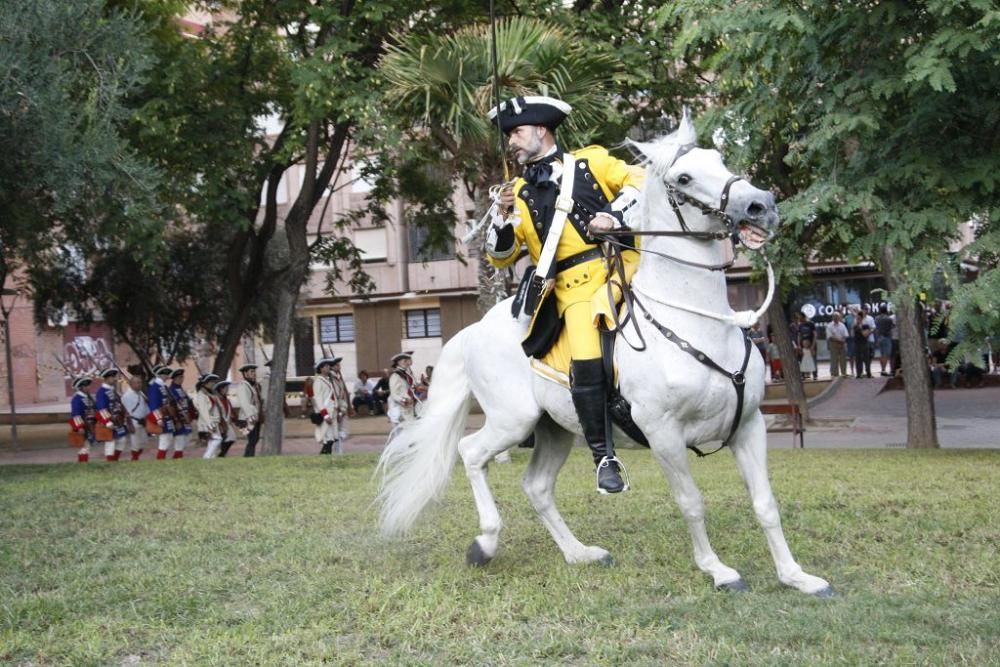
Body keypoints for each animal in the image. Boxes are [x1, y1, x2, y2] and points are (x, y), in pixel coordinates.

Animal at [378, 112, 832, 596]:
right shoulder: (664, 434)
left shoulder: (749, 427)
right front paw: (719, 570)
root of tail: (474, 330)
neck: (699, 324)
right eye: (684, 177)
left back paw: (579, 553)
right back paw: (485, 541)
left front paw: (796, 576)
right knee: (470, 452)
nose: (760, 205)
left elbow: (765, 502)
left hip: (555, 429)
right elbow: (691, 501)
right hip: (512, 420)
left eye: (720, 158)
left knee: (537, 486)